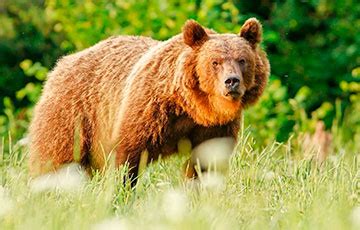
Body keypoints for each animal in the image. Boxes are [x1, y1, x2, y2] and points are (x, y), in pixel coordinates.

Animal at [28, 18, 270, 182]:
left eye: (242, 60)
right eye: (215, 62)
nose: (232, 81)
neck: (192, 107)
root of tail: (63, 63)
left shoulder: (215, 127)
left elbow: (207, 163)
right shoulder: (149, 110)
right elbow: (126, 156)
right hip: (73, 114)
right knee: (57, 157)